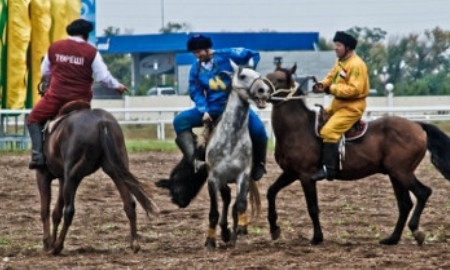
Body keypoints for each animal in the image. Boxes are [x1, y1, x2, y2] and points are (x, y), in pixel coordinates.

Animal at [35, 101, 158, 255]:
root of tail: (102, 122)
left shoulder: (43, 175)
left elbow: (45, 210)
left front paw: (47, 243)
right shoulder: (62, 178)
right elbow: (55, 212)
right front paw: (50, 242)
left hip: (73, 177)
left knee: (69, 210)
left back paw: (58, 246)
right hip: (116, 170)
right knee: (129, 203)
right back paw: (134, 243)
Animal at [264, 64, 450, 246]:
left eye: (279, 80)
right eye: (268, 76)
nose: (260, 90)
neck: (299, 128)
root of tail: (418, 126)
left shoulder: (305, 176)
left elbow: (312, 208)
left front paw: (317, 237)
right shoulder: (290, 173)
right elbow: (271, 191)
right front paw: (274, 228)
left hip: (402, 172)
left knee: (423, 193)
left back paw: (415, 231)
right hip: (395, 175)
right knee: (405, 204)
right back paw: (392, 238)